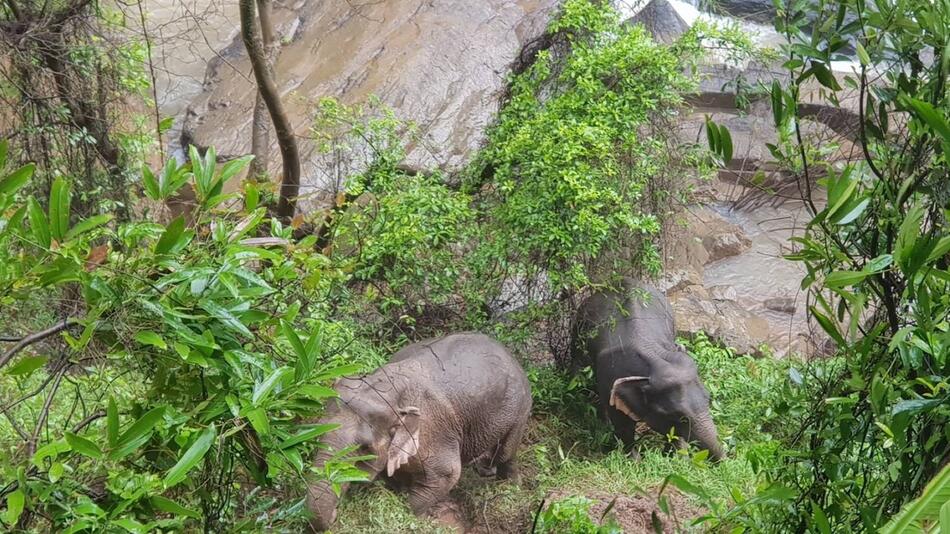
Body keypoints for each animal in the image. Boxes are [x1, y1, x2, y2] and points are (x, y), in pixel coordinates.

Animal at [304, 332, 532, 532]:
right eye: (317, 433)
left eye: (364, 448)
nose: (335, 515)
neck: (385, 390)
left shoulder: (434, 432)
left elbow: (447, 474)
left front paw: (417, 516)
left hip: (520, 408)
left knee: (506, 453)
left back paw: (510, 485)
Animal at [568, 280, 724, 460]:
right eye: (679, 416)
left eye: (709, 399)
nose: (724, 460)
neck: (653, 359)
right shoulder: (610, 380)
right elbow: (623, 425)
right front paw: (634, 460)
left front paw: (674, 457)